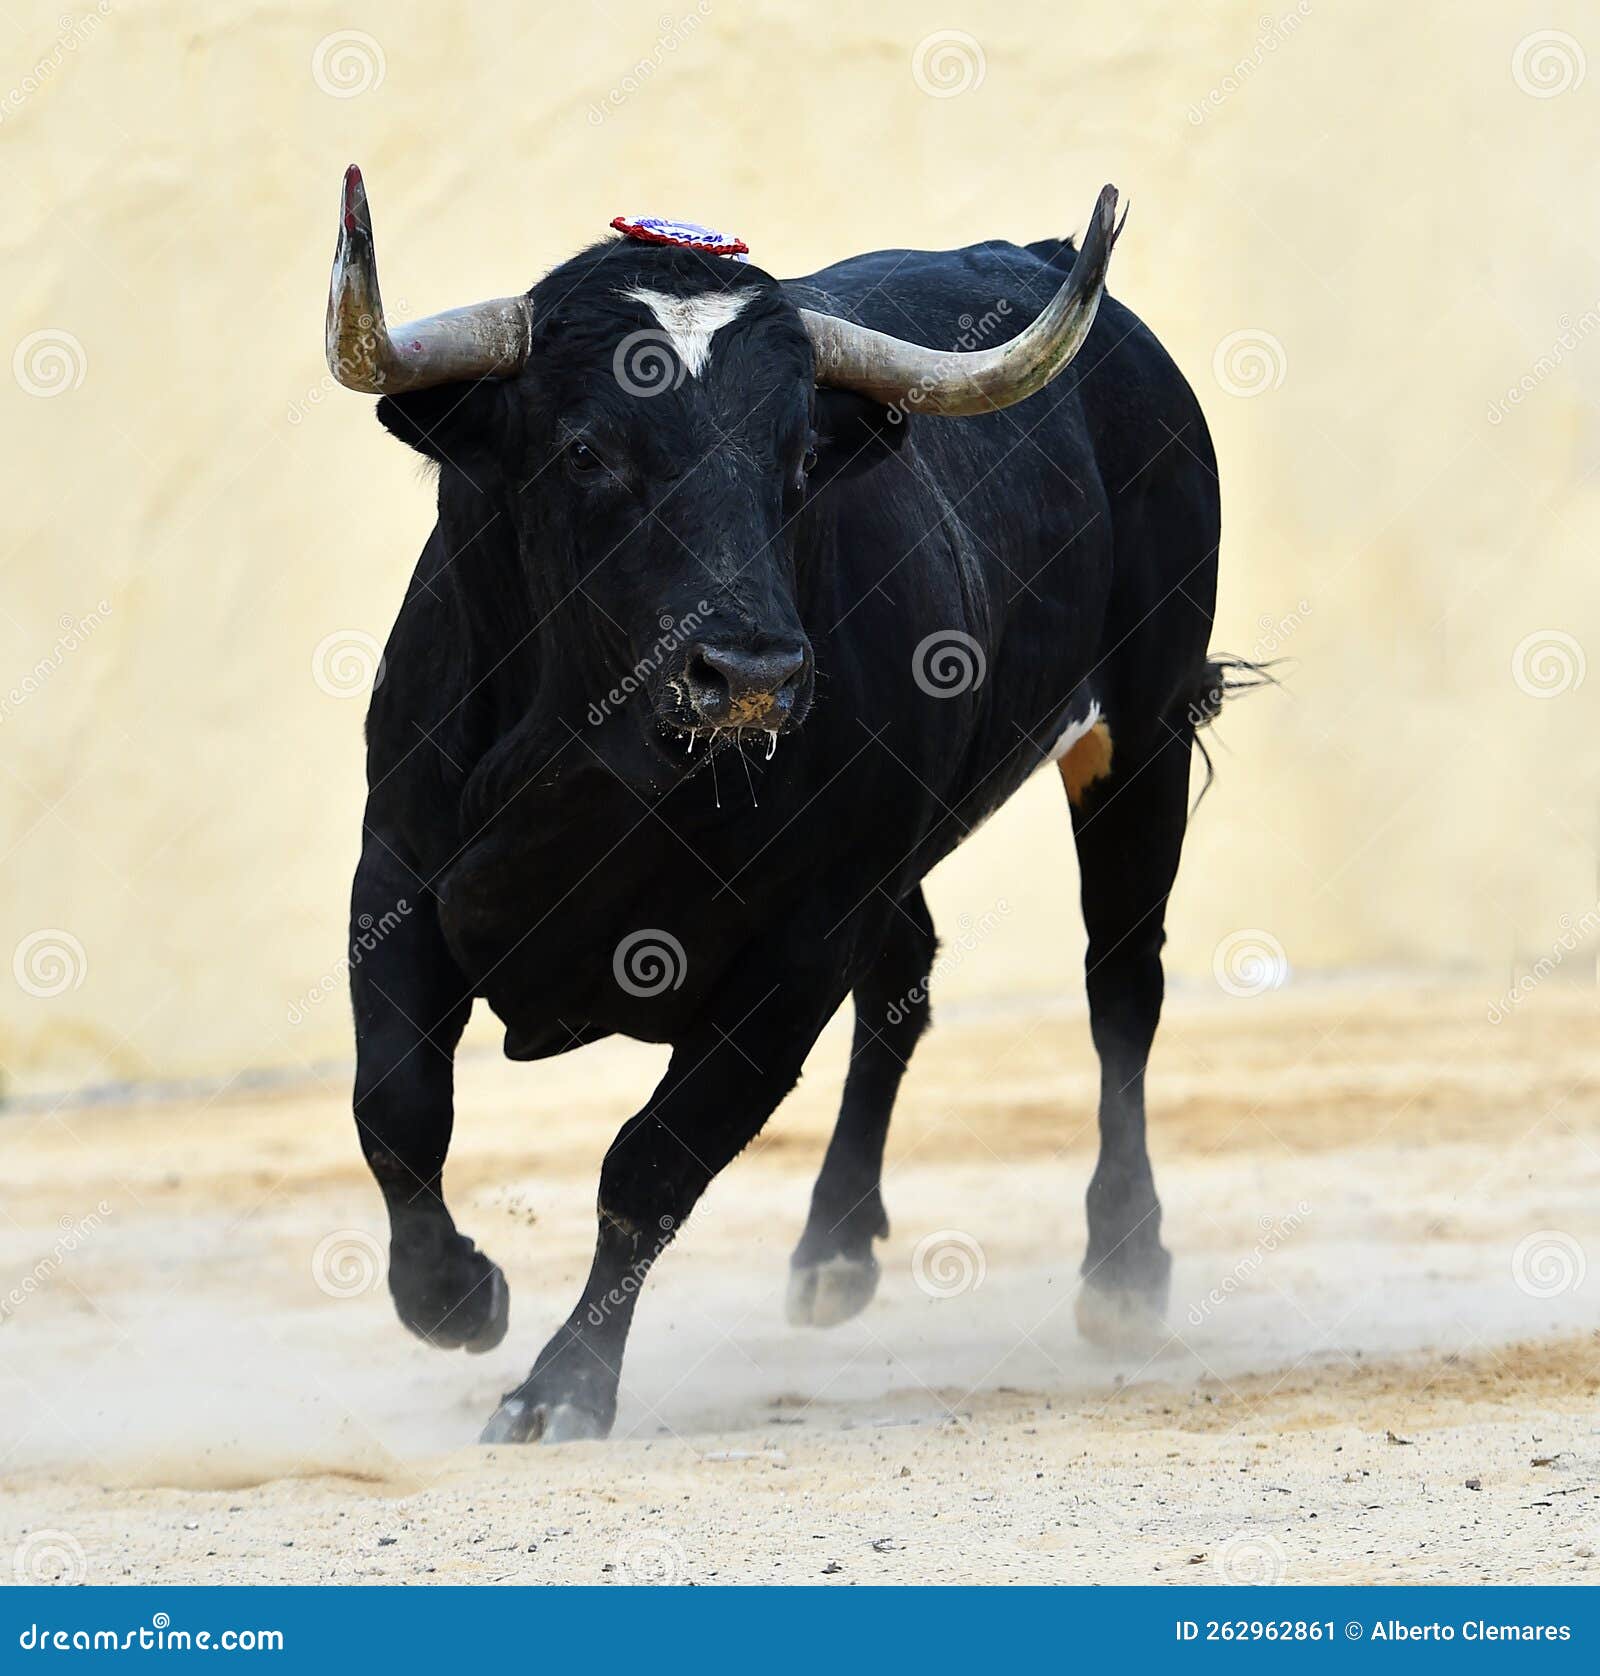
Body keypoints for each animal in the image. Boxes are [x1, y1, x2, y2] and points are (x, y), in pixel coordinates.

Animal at [346, 209, 1226, 1448]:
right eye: (583, 451)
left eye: (799, 457)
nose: (752, 676)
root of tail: (1046, 254)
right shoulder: (395, 871)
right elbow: (397, 1101)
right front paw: (454, 1296)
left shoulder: (800, 942)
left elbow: (651, 1161)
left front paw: (560, 1386)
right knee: (910, 972)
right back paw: (835, 1247)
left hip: (1140, 736)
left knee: (1122, 987)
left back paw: (1123, 1269)